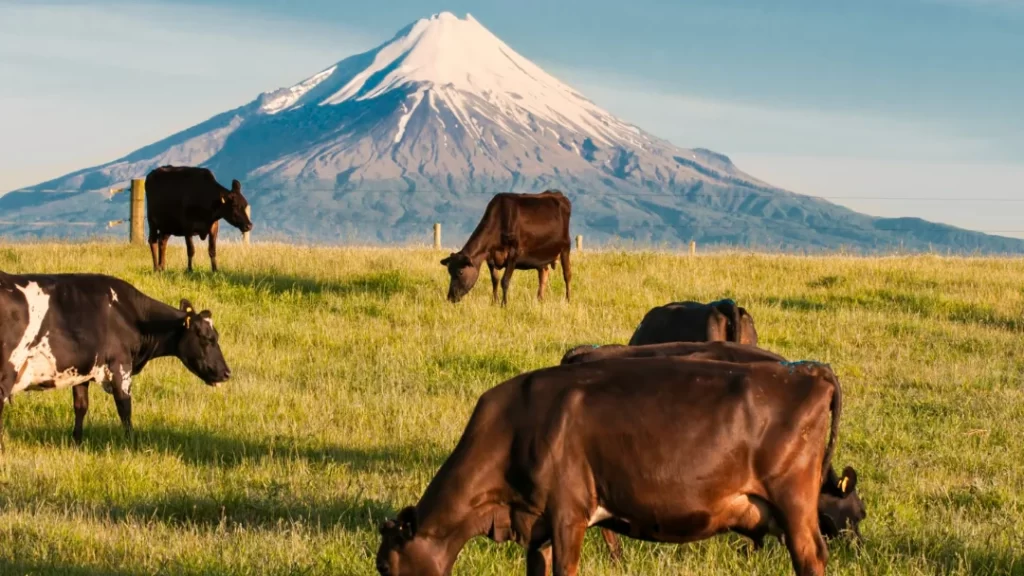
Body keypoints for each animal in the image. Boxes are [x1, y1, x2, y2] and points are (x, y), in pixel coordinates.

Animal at [0, 270, 232, 440]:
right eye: (206, 338)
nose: (226, 373)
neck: (128, 314)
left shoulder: (81, 369)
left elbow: (81, 406)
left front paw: (77, 441)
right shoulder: (120, 365)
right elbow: (125, 408)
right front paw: (131, 444)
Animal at [380, 356, 843, 569]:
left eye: (385, 565)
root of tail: (807, 372)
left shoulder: (568, 514)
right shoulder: (538, 526)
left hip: (793, 502)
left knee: (810, 556)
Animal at [438, 189, 573, 305]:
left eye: (460, 272)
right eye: (449, 271)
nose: (450, 297)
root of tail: (558, 194)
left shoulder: (514, 253)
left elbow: (505, 281)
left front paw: (504, 304)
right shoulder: (490, 256)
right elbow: (495, 280)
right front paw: (494, 302)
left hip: (566, 247)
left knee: (567, 275)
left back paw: (568, 299)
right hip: (542, 254)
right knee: (543, 274)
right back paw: (539, 299)